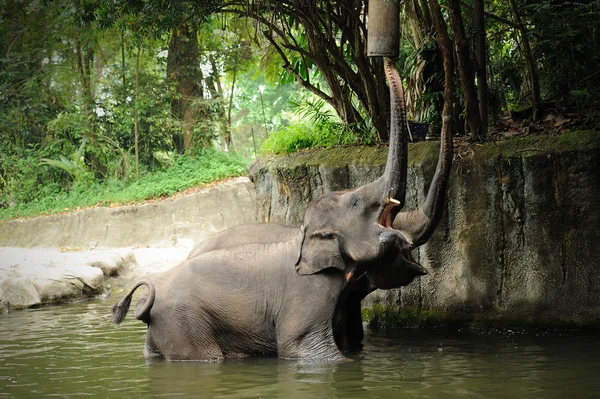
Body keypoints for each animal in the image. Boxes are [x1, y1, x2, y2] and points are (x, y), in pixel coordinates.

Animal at [111, 58, 454, 362]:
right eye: (357, 202)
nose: (387, 58)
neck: (303, 232)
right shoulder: (308, 293)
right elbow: (305, 350)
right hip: (184, 323)